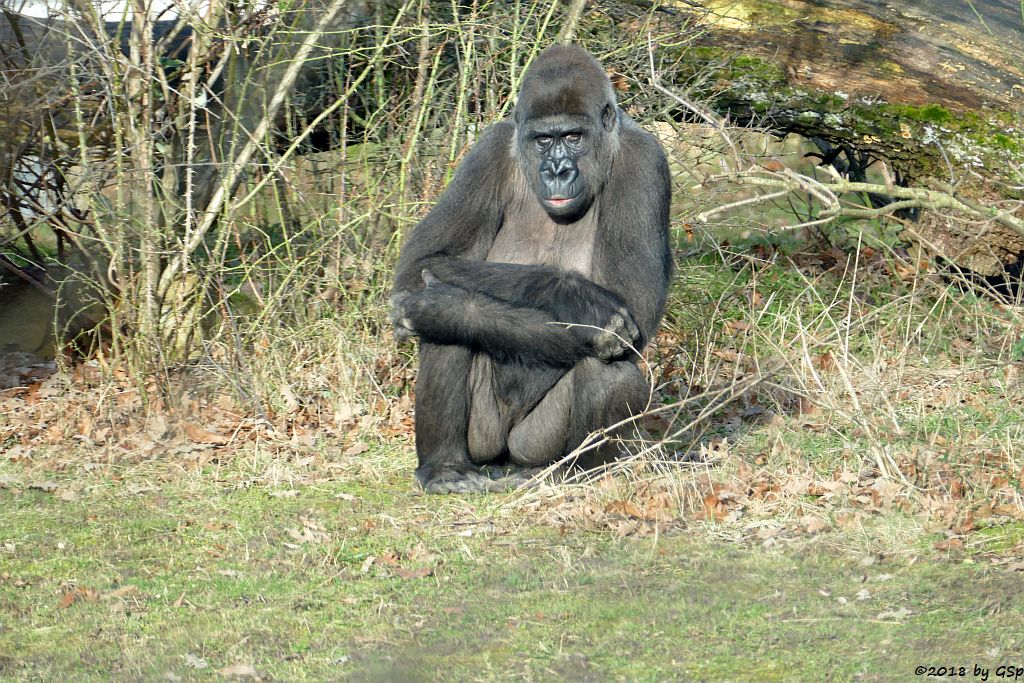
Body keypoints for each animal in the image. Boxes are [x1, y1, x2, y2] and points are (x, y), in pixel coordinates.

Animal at [389, 45, 671, 493]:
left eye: (573, 137)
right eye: (543, 140)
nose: (558, 171)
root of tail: (506, 458)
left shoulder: (644, 162)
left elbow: (634, 308)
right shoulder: (488, 150)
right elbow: (424, 261)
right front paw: (577, 298)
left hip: (532, 446)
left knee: (607, 364)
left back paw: (575, 472)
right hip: (486, 445)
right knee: (444, 334)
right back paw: (445, 467)